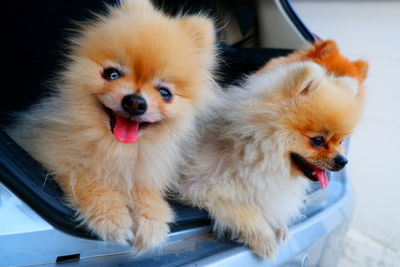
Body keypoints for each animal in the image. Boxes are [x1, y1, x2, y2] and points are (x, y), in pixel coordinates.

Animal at [6, 0, 217, 251]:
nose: (135, 102)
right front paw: (112, 215)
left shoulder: (141, 169)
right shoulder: (51, 153)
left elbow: (144, 189)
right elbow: (88, 177)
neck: (117, 148)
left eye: (165, 93)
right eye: (112, 74)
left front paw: (152, 217)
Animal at [178, 61, 366, 260]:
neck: (253, 149)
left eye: (341, 141)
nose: (343, 160)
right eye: (317, 140)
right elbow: (241, 206)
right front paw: (264, 236)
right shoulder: (200, 185)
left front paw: (278, 224)